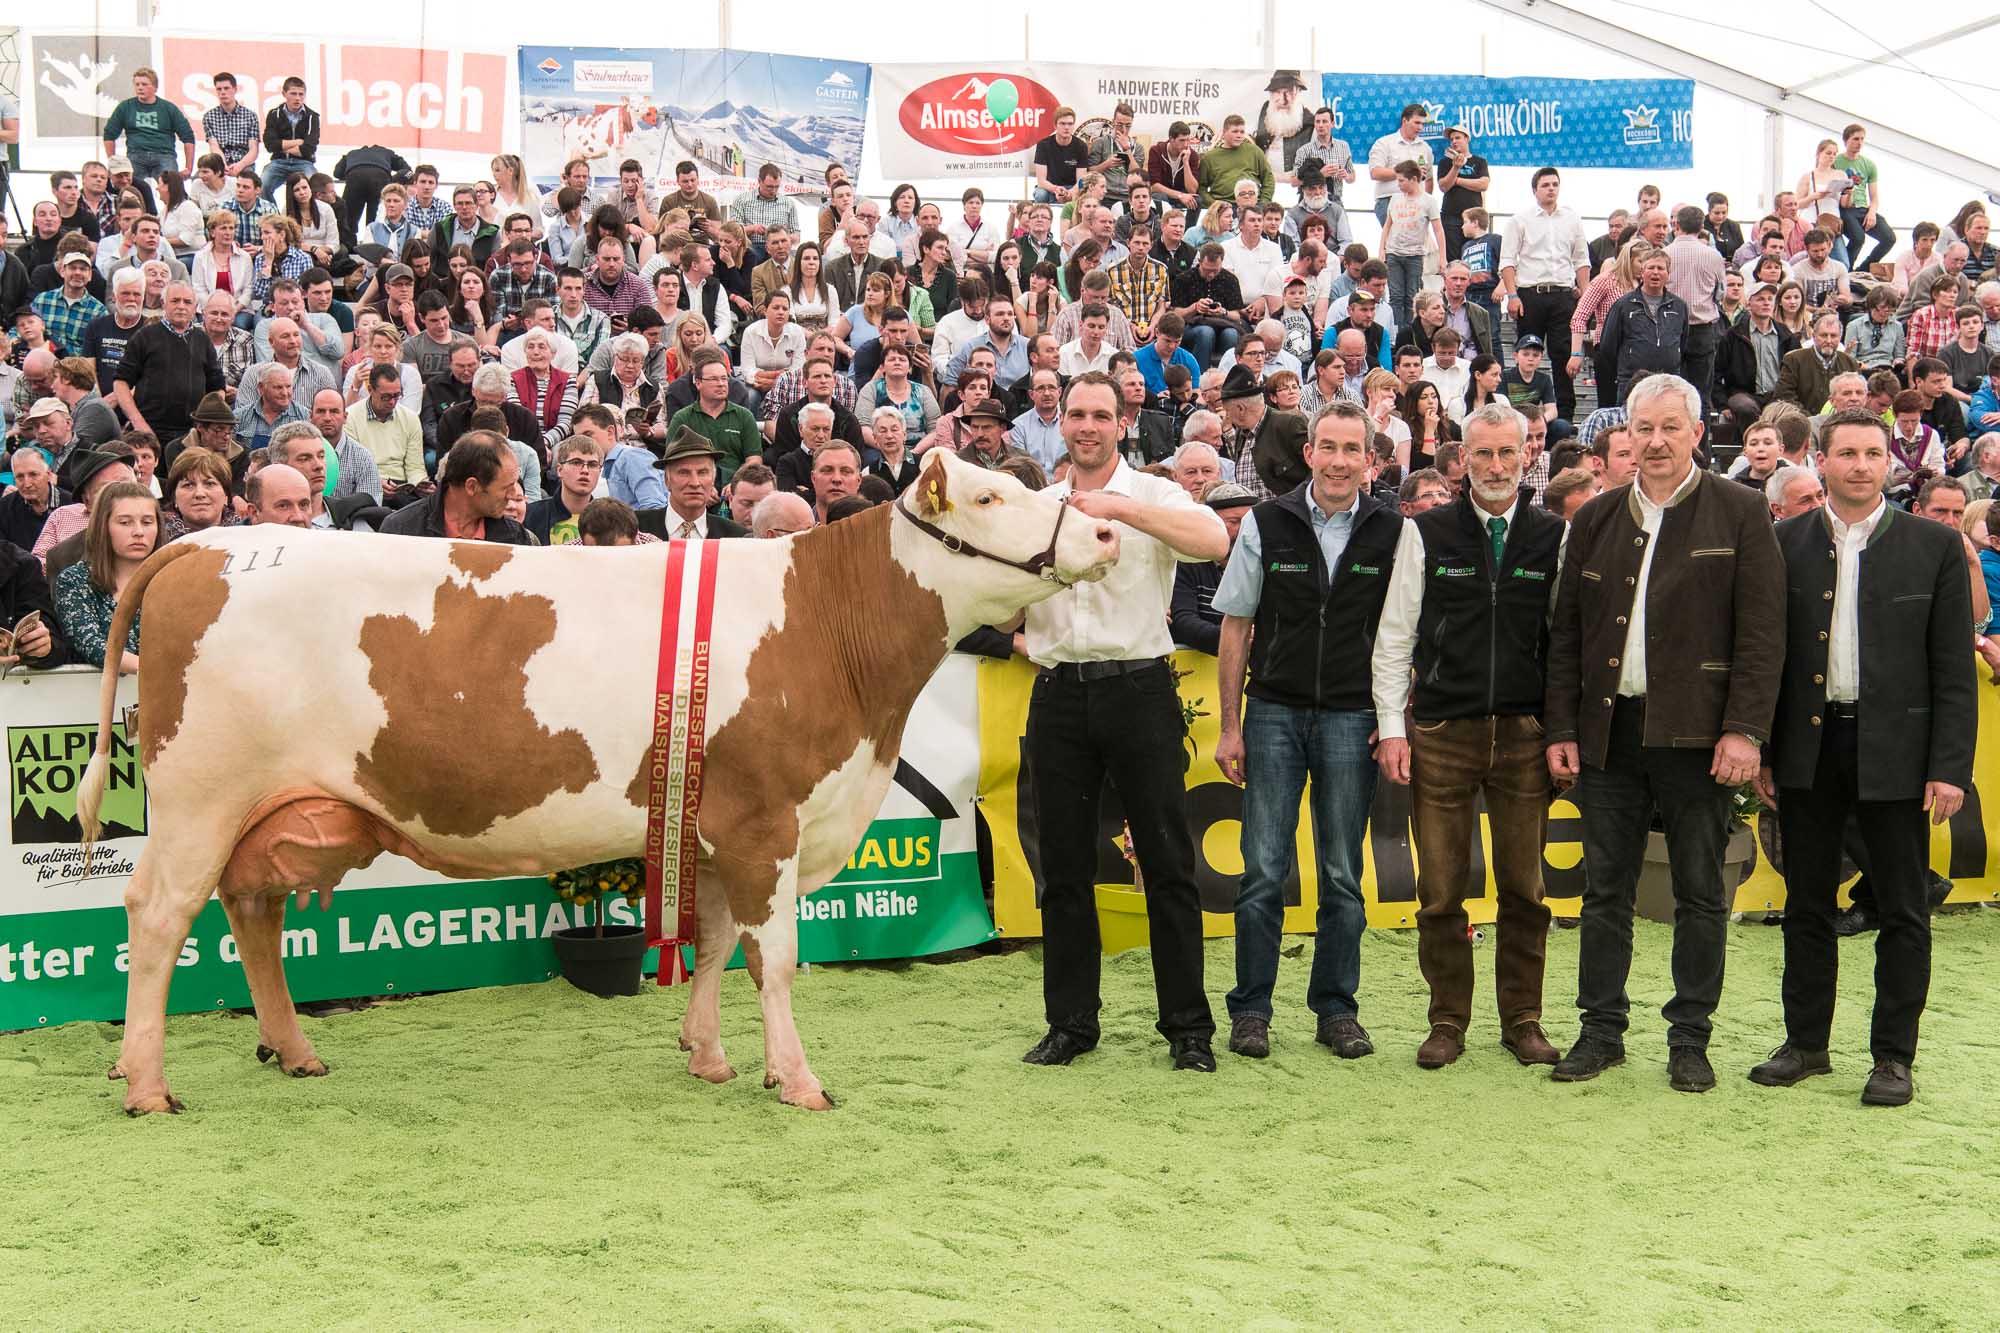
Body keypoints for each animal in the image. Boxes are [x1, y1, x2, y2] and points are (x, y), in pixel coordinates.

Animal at [86, 446, 1120, 1112]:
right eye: (991, 497)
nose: (1109, 535)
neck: (833, 626)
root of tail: (203, 545)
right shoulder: (766, 819)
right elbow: (774, 957)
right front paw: (797, 1079)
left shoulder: (715, 824)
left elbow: (714, 942)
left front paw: (708, 1057)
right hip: (199, 795)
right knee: (160, 915)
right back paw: (146, 1082)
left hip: (265, 808)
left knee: (252, 913)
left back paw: (293, 1051)